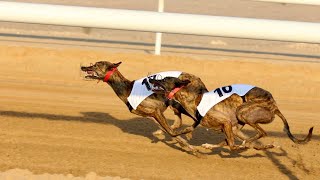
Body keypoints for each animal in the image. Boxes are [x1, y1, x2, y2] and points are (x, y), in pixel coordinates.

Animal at [80, 61, 208, 154]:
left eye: (96, 65)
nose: (82, 67)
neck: (127, 89)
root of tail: (197, 79)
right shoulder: (152, 115)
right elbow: (171, 132)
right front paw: (190, 147)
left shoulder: (157, 111)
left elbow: (172, 132)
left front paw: (192, 146)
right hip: (178, 105)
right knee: (181, 122)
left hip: (186, 103)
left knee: (197, 118)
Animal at [149, 76, 312, 150]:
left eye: (164, 79)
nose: (151, 79)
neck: (195, 98)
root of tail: (274, 106)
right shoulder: (225, 126)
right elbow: (185, 129)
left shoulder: (225, 122)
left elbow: (233, 145)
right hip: (237, 126)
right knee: (241, 139)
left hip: (242, 112)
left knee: (262, 133)